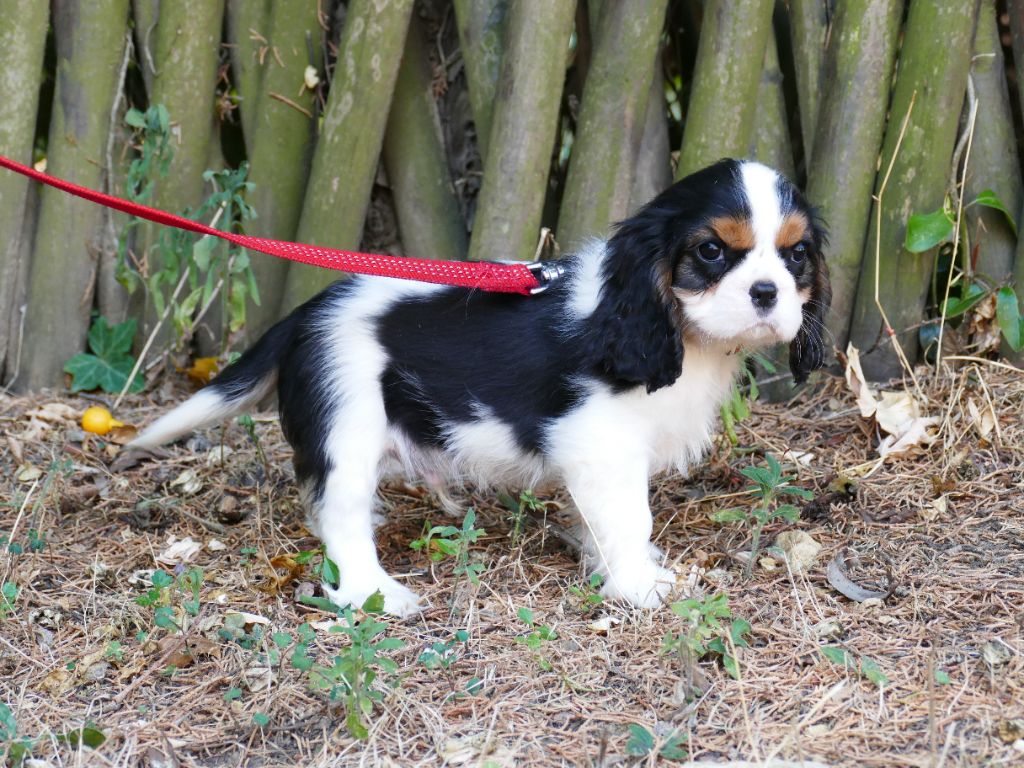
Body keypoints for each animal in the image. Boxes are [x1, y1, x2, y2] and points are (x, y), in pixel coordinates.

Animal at [132, 160, 827, 618]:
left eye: (796, 256)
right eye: (711, 251)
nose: (767, 292)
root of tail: (303, 314)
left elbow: (600, 521)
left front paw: (613, 568)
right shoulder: (598, 442)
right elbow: (630, 515)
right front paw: (639, 586)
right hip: (346, 425)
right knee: (340, 515)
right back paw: (375, 593)